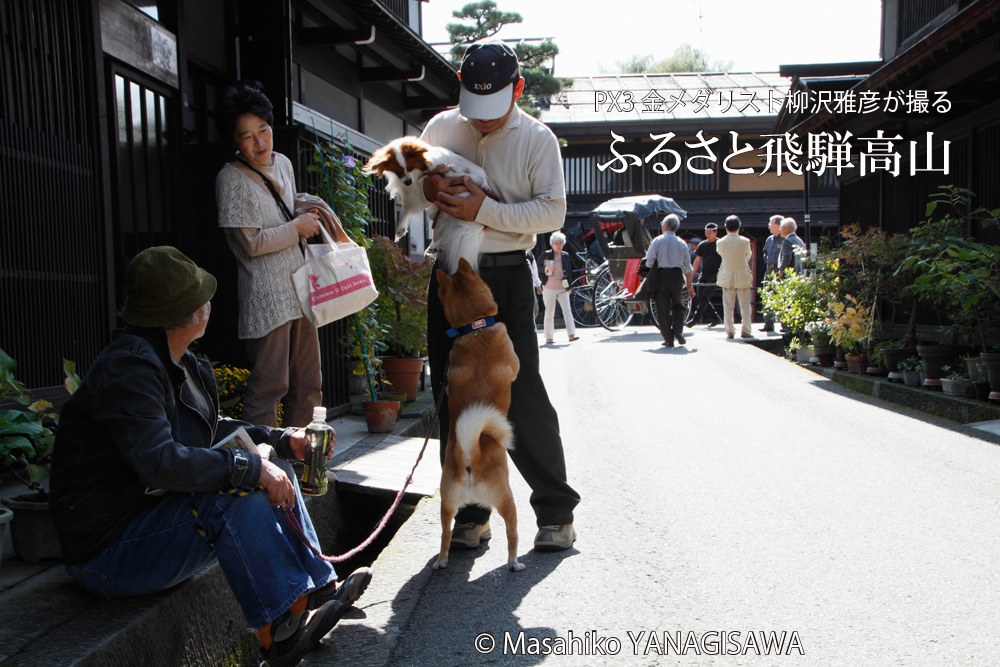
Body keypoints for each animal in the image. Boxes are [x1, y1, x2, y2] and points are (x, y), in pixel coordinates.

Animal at [366, 136, 494, 274]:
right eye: (397, 171)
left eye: (411, 166)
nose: (408, 181)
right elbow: (404, 210)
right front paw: (400, 229)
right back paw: (433, 246)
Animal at [432, 258, 524, 572]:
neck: (475, 328)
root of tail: (470, 458)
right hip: (507, 500)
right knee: (512, 534)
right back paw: (514, 563)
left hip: (447, 505)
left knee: (445, 536)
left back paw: (442, 561)